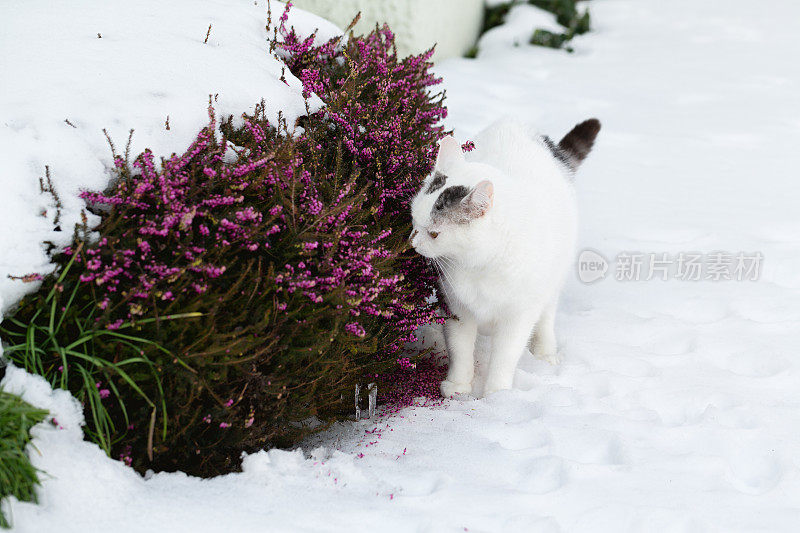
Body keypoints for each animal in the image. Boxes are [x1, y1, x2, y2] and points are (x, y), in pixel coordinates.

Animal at [410, 118, 596, 396]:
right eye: (413, 221)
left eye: (434, 234)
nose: (412, 244)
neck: (476, 266)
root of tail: (515, 123)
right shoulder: (455, 305)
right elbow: (459, 346)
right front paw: (458, 384)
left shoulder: (518, 315)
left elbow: (505, 355)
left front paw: (497, 395)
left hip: (552, 278)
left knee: (547, 315)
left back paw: (545, 351)